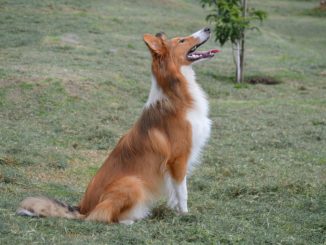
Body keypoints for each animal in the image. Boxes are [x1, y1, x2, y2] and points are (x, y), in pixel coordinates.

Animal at [17, 27, 219, 224]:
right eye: (182, 40)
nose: (208, 28)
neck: (176, 93)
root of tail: (83, 208)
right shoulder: (178, 159)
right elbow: (183, 192)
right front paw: (185, 214)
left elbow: (176, 194)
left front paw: (176, 212)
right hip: (133, 182)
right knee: (101, 216)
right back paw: (129, 220)